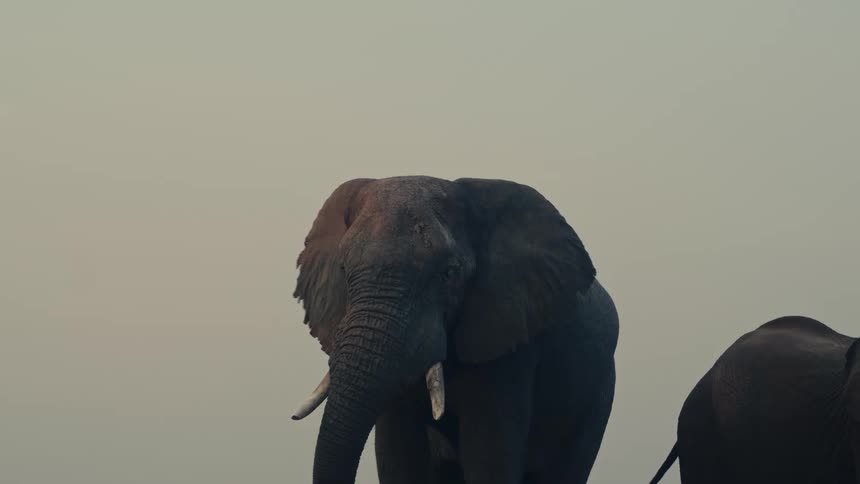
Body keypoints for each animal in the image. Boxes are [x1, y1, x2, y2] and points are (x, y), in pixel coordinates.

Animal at [290, 176, 619, 484]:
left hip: (598, 392)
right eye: (343, 271)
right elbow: (398, 457)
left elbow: (488, 459)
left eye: (447, 275)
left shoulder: (509, 341)